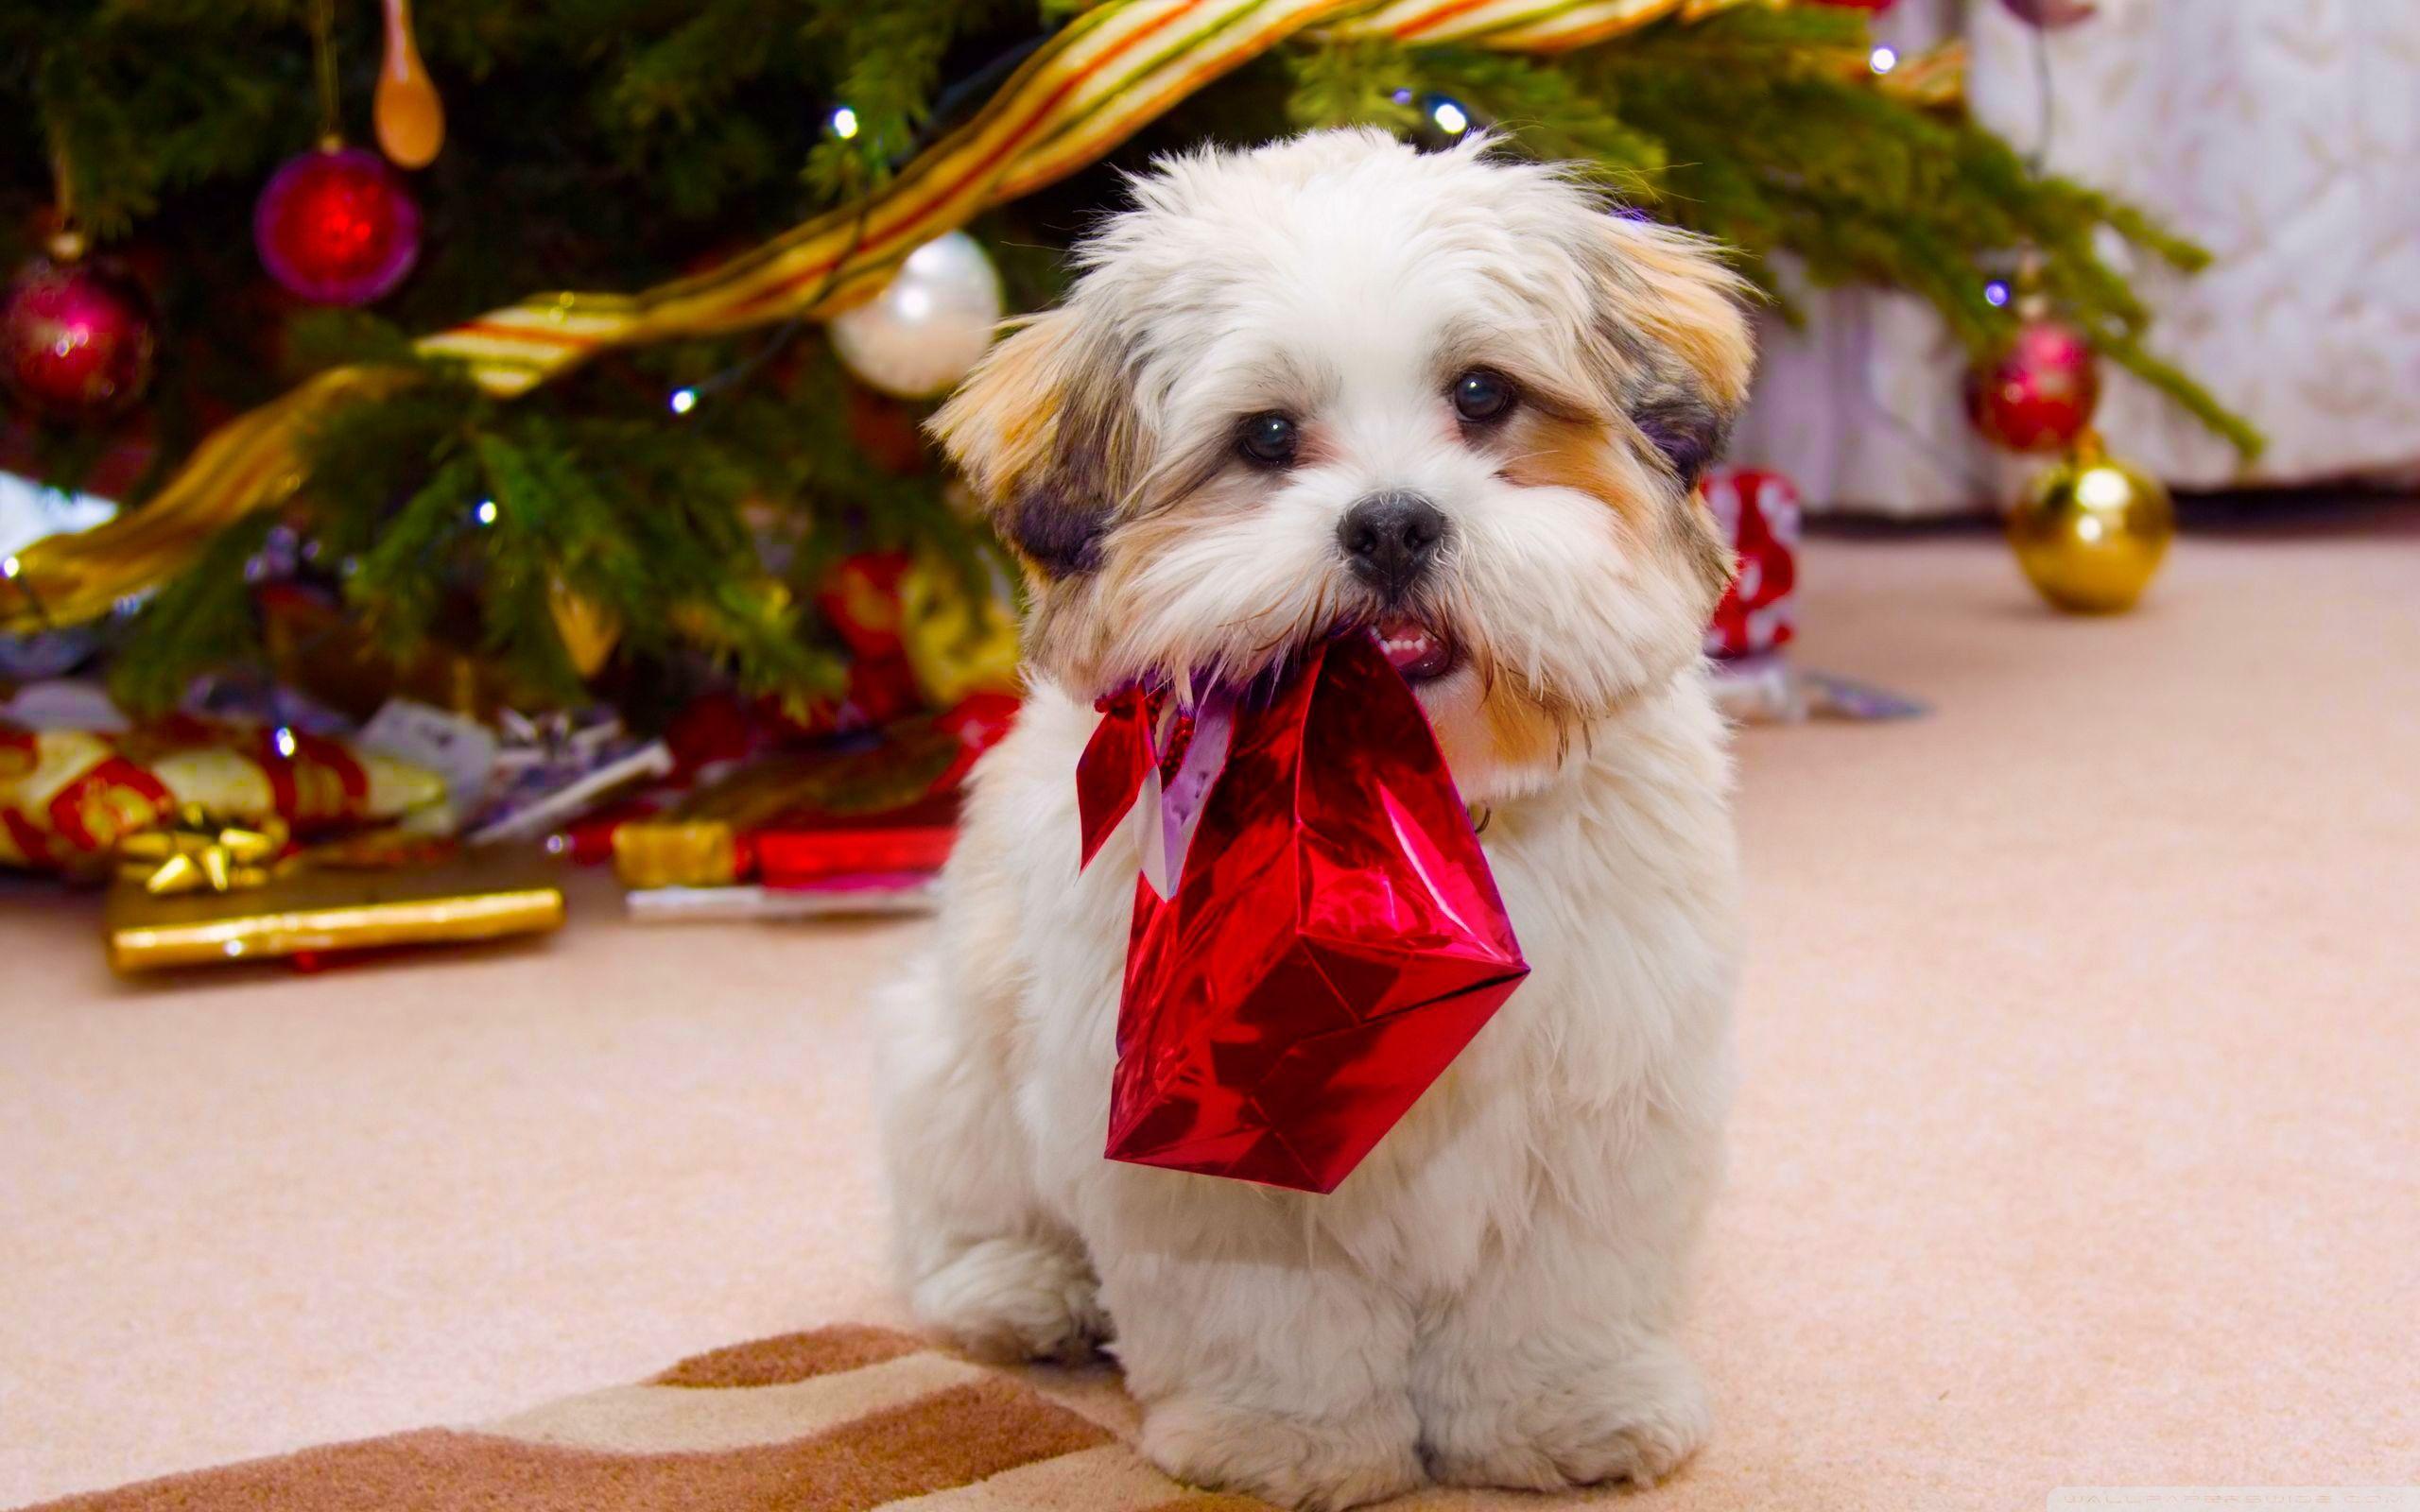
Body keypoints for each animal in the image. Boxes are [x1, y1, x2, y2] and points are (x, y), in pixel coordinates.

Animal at [880, 132, 1752, 1509]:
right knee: (955, 1209)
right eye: (1268, 436)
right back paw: (1021, 1287)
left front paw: (1559, 1411)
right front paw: (1285, 1439)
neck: (1409, 809)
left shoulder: (1605, 1095)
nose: (1391, 520)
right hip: (948, 1053)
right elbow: (1268, 1314)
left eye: (1483, 394)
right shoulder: (1200, 1126)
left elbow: (1558, 1290)